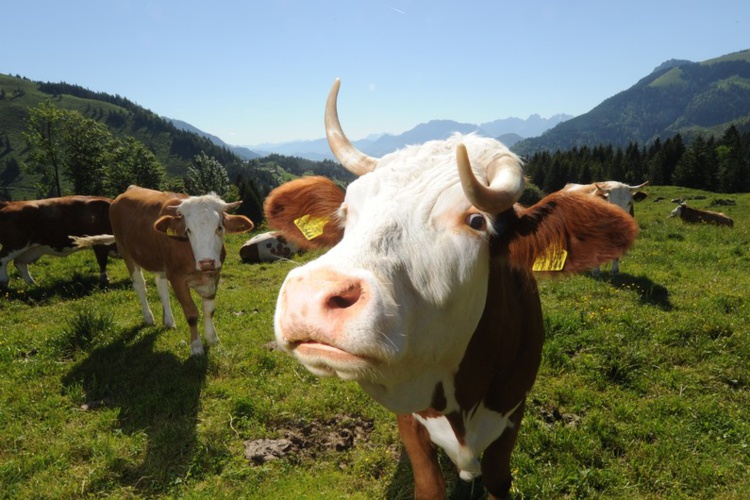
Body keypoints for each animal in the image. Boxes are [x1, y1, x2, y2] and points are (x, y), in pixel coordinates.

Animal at [74, 186, 254, 355]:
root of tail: (128, 191)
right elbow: (192, 314)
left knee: (161, 287)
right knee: (140, 286)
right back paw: (149, 317)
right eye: (188, 230)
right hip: (125, 251)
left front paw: (212, 338)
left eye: (219, 227)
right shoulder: (178, 279)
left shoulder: (214, 275)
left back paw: (168, 320)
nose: (207, 262)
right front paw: (196, 346)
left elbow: (209, 310)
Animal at [263, 80, 639, 499]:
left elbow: (499, 479)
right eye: (346, 213)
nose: (309, 295)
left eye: (476, 220)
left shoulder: (514, 410)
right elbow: (429, 483)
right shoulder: (412, 418)